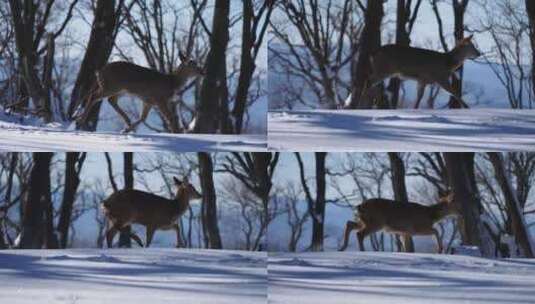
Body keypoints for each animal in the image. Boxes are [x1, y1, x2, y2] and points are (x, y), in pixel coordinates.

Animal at [76, 52, 206, 133]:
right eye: (192, 63)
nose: (203, 71)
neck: (172, 82)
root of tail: (99, 71)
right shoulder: (160, 98)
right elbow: (171, 117)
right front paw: (176, 133)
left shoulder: (148, 101)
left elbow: (143, 118)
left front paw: (126, 130)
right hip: (111, 86)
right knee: (94, 96)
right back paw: (80, 122)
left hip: (119, 89)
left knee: (110, 100)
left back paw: (127, 123)